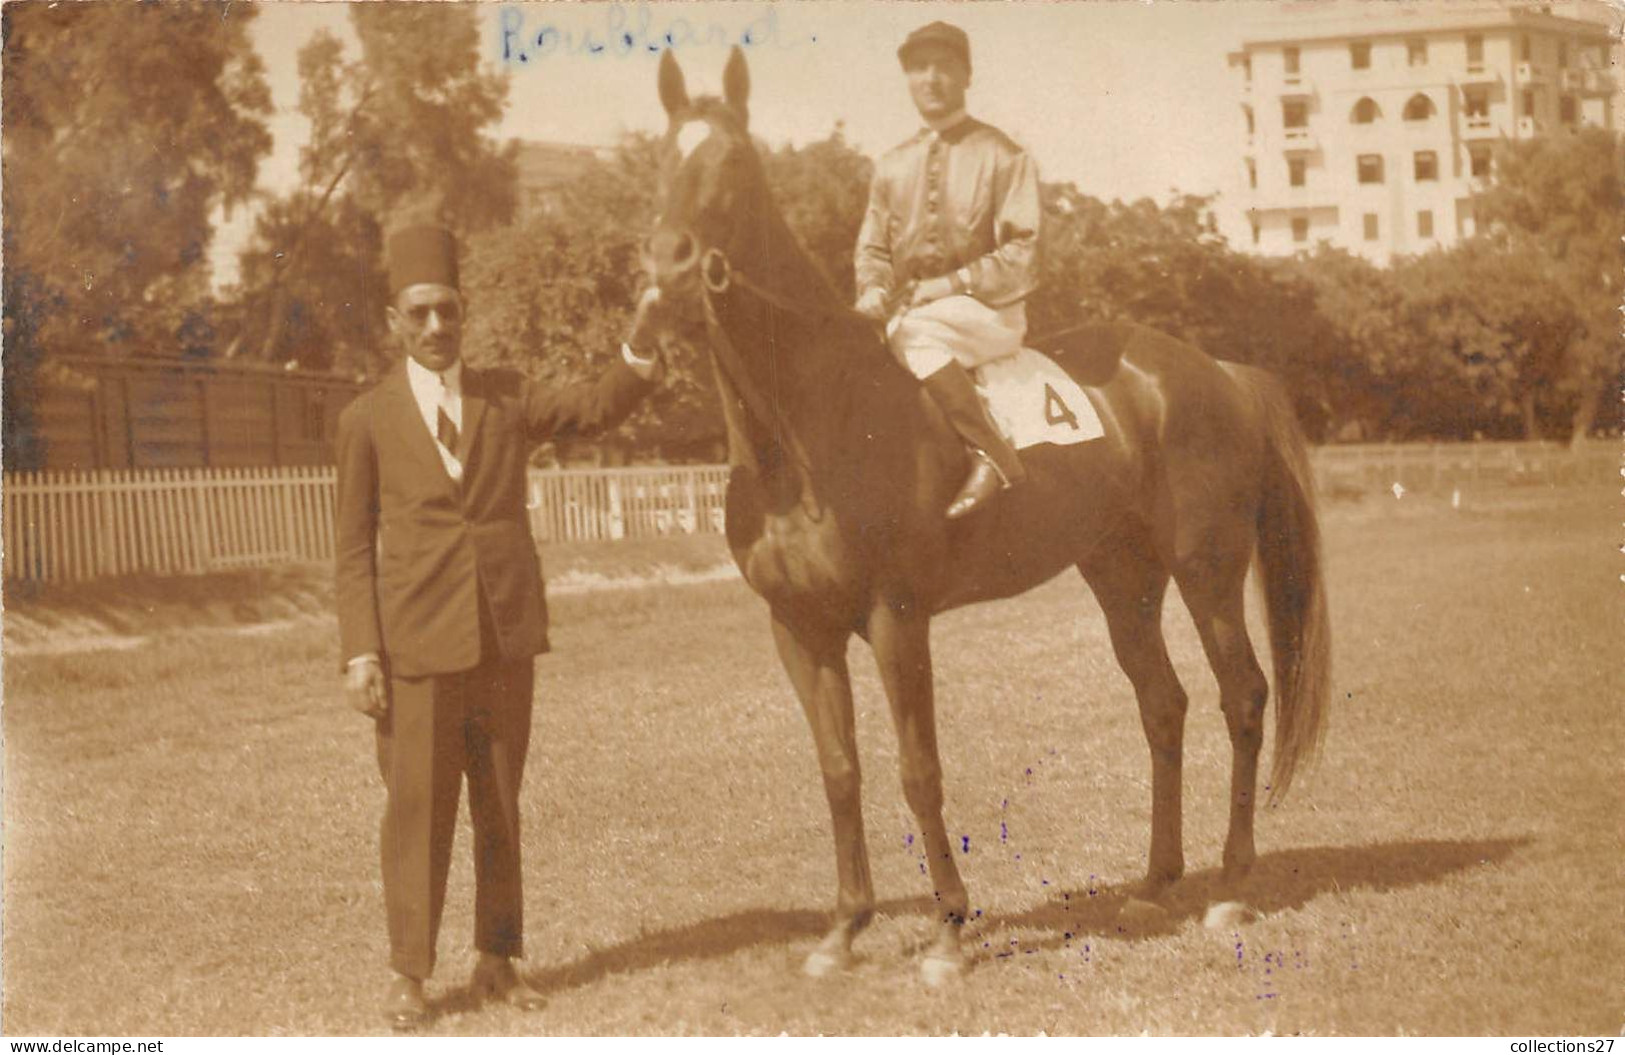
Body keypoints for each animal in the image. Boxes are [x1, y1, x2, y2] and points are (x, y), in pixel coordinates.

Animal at [633, 49, 1332, 981]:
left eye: (735, 163)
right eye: (663, 159)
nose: (668, 265)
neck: (809, 426)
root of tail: (1218, 370)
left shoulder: (894, 618)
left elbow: (916, 769)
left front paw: (946, 932)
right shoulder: (798, 629)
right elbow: (839, 768)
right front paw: (843, 929)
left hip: (1206, 568)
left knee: (1243, 695)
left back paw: (1229, 885)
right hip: (1123, 578)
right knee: (1163, 704)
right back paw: (1155, 881)